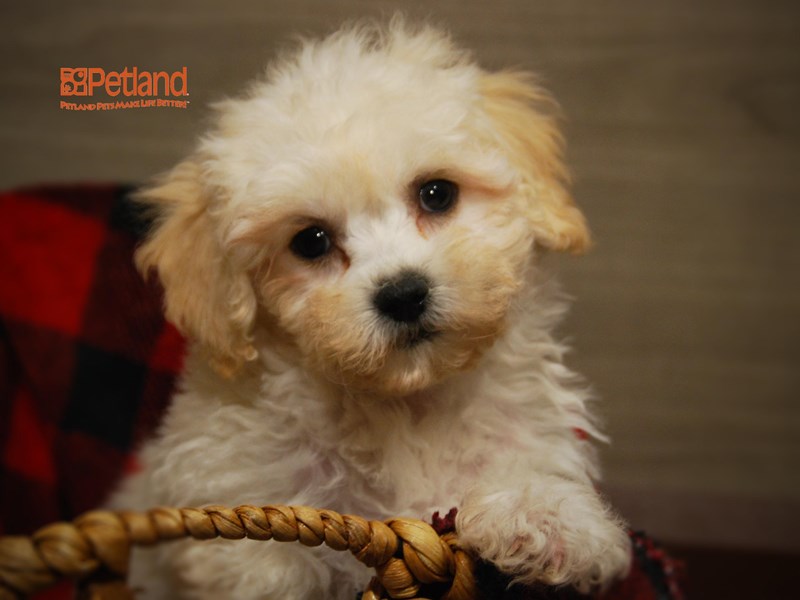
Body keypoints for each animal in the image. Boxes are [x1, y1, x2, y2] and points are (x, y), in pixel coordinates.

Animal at [112, 18, 636, 600]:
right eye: (311, 241)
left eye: (436, 193)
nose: (403, 294)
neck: (408, 406)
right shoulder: (234, 504)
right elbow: (266, 566)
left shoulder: (528, 436)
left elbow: (530, 474)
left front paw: (546, 521)